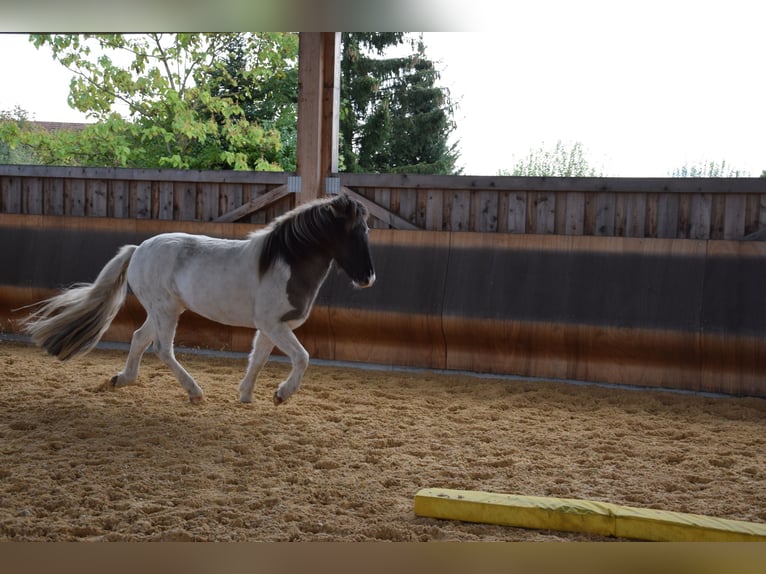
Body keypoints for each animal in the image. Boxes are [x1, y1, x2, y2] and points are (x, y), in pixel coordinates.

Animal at [19, 194, 376, 404]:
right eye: (356, 231)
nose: (368, 278)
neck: (283, 263)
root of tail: (138, 249)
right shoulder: (274, 324)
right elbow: (302, 357)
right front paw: (282, 394)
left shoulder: (271, 327)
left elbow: (258, 358)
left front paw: (246, 395)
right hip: (165, 310)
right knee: (162, 349)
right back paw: (194, 392)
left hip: (161, 309)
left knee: (139, 338)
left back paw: (123, 379)